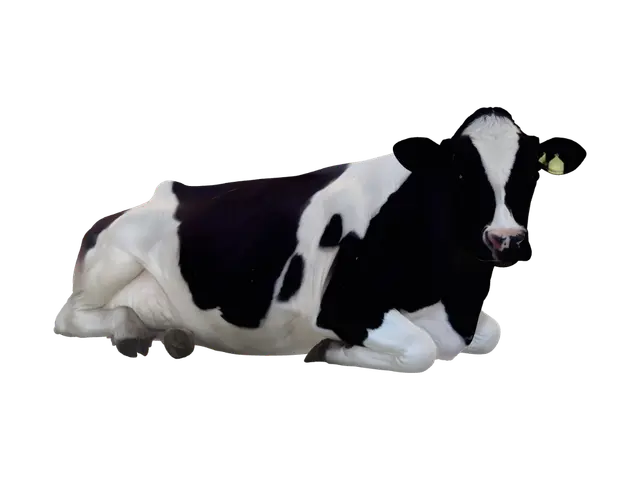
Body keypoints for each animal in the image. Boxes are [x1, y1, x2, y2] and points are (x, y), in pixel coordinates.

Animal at [55, 112, 541, 373]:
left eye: (529, 175)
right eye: (460, 173)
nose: (505, 238)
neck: (452, 294)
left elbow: (493, 332)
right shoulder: (343, 306)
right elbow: (423, 348)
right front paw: (332, 351)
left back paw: (173, 336)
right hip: (114, 260)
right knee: (72, 317)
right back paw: (131, 330)